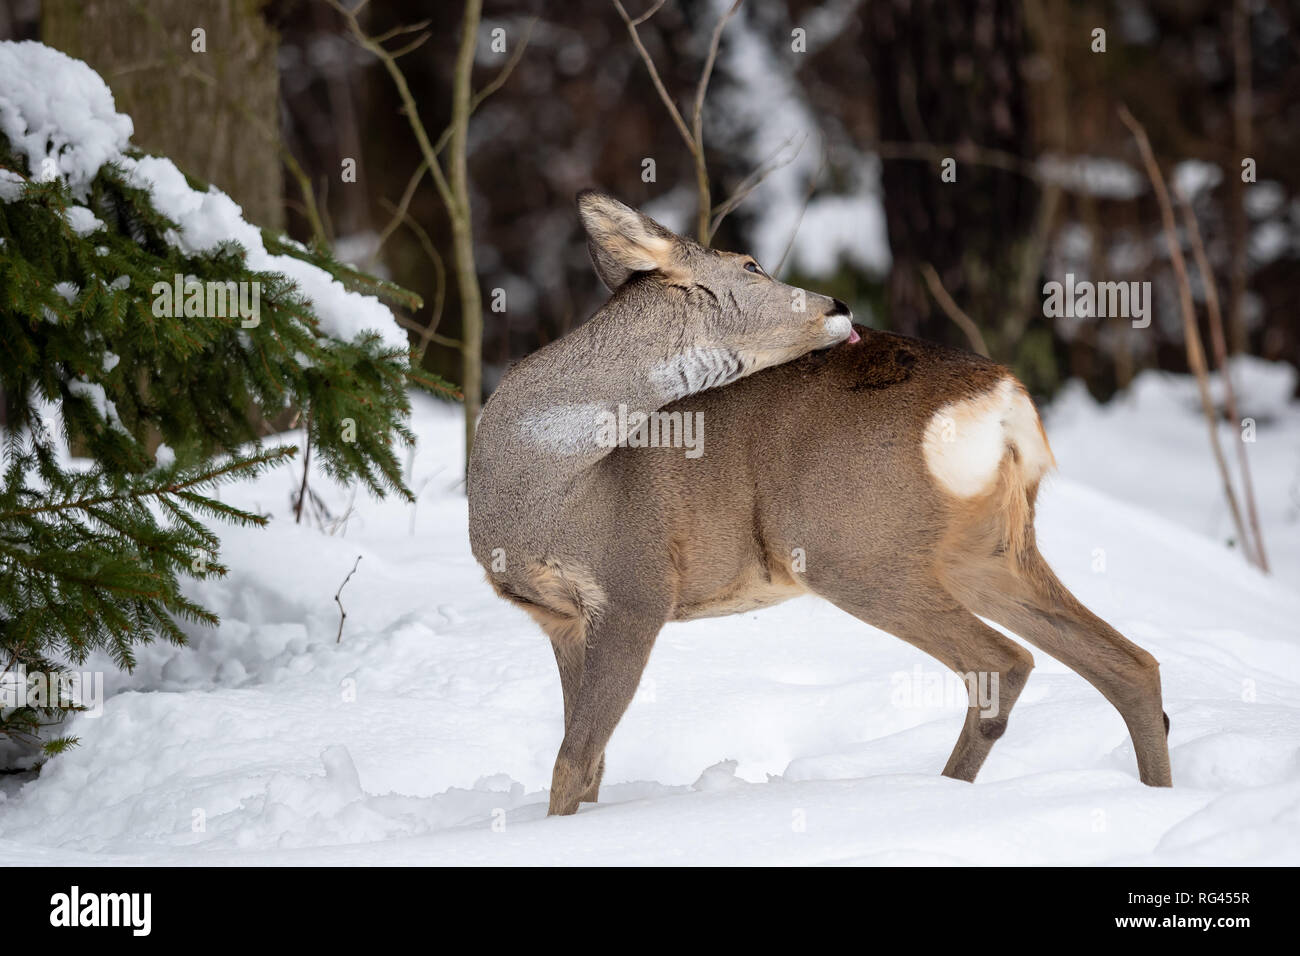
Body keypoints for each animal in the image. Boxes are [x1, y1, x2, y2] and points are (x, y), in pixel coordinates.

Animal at [467, 190, 1172, 816]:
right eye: (751, 265)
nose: (839, 303)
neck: (551, 485)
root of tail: (1002, 401)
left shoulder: (635, 586)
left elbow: (574, 762)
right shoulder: (561, 620)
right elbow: (589, 765)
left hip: (851, 547)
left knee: (1004, 663)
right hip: (986, 550)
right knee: (1129, 664)